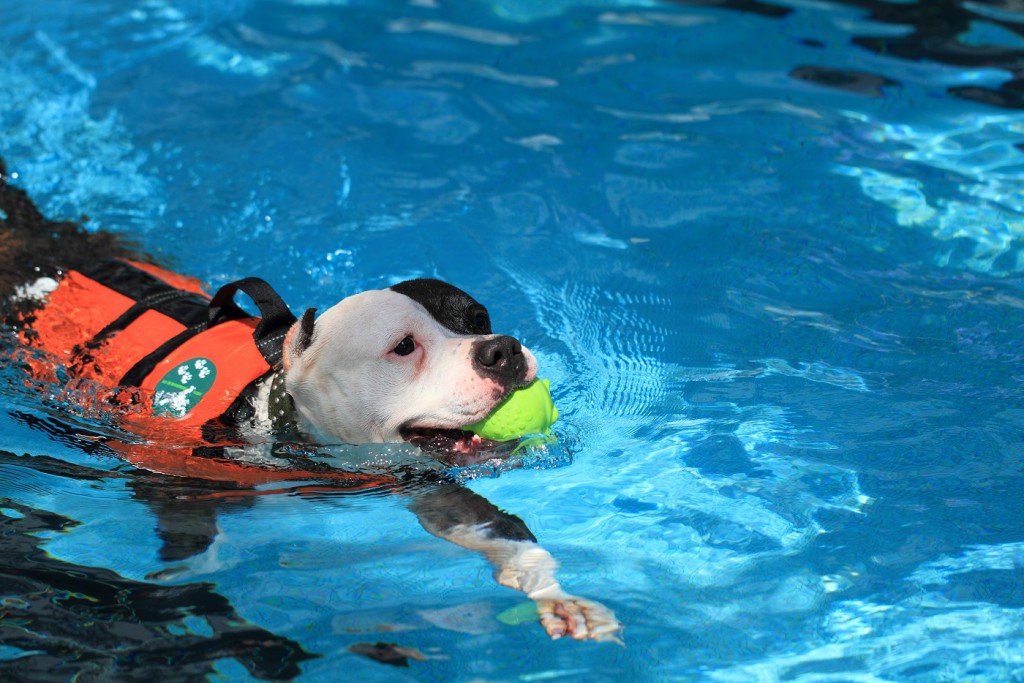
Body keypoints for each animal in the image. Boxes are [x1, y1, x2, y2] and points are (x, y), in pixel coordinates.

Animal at [0, 157, 622, 644]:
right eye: (403, 346)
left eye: (480, 318)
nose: (503, 348)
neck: (285, 421)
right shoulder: (171, 478)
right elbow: (192, 547)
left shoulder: (427, 482)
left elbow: (498, 533)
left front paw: (558, 597)